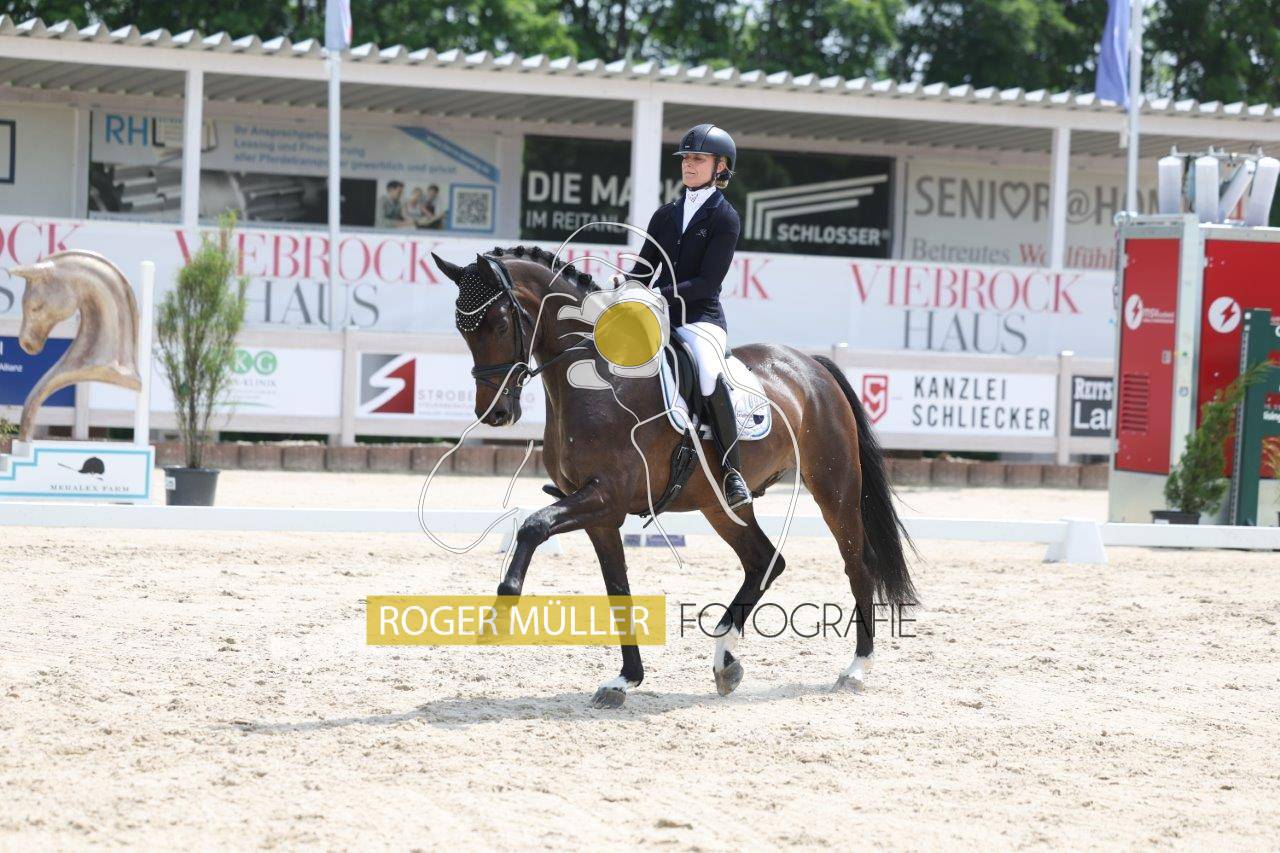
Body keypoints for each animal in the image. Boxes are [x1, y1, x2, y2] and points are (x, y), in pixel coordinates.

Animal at [431, 245, 916, 708]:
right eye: (461, 329)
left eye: (498, 324)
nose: (494, 414)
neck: (596, 384)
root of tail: (811, 365)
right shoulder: (601, 514)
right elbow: (617, 588)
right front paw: (625, 680)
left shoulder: (604, 498)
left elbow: (533, 526)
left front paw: (499, 612)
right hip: (718, 504)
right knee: (765, 561)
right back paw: (725, 662)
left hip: (834, 485)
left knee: (856, 564)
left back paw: (856, 669)